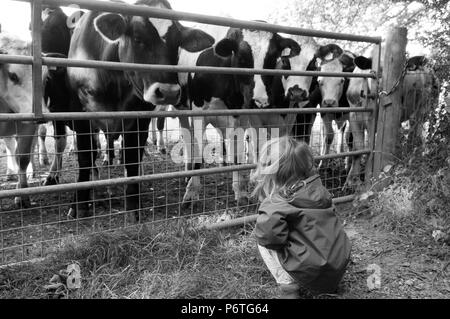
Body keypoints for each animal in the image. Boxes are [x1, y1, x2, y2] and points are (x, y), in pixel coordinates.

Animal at [62, 0, 214, 222]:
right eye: (137, 38)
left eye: (177, 43)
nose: (169, 92)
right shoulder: (79, 113)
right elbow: (85, 157)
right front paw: (79, 204)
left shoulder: (139, 115)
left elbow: (133, 156)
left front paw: (133, 204)